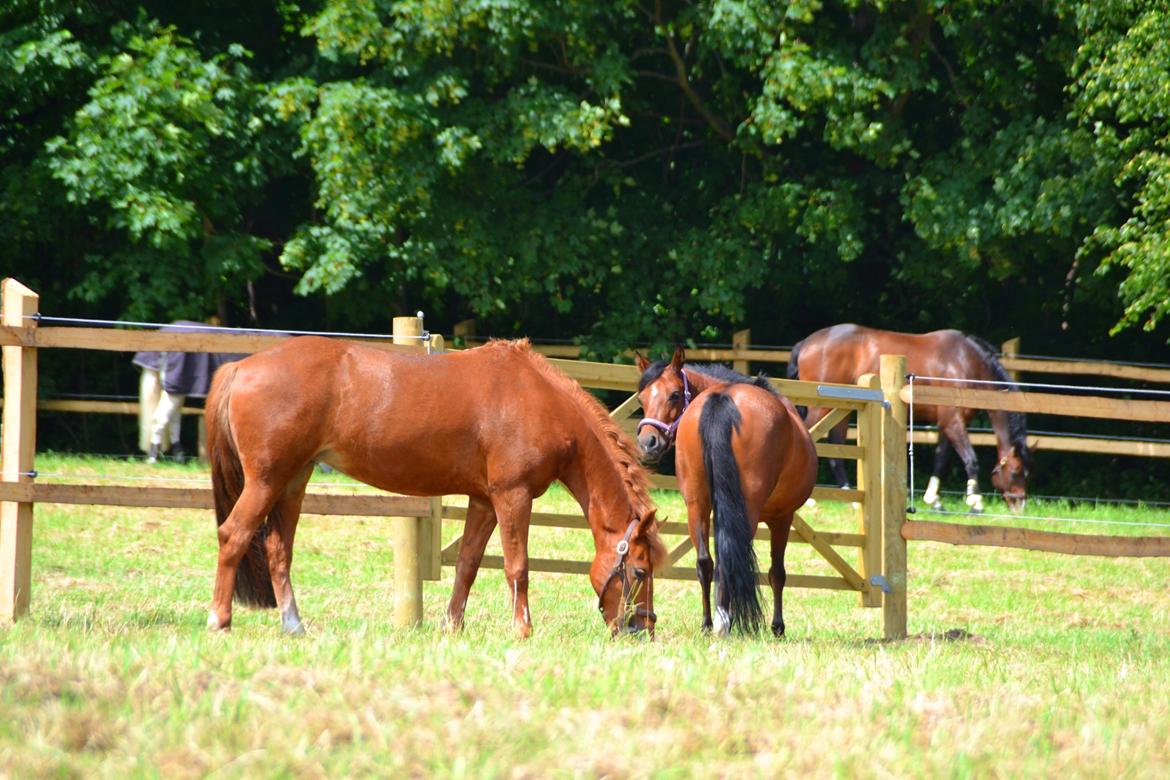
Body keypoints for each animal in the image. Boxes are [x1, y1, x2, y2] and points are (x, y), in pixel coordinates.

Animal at [204, 339, 664, 636]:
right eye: (640, 570)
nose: (643, 630)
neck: (538, 400)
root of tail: (240, 368)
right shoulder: (512, 497)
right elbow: (518, 567)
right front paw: (523, 630)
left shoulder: (484, 501)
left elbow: (468, 565)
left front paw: (452, 627)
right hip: (266, 481)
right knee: (233, 535)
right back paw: (219, 621)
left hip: (292, 482)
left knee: (278, 549)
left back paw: (294, 626)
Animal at [636, 350, 819, 636]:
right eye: (642, 398)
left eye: (674, 395)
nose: (647, 443)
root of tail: (722, 398)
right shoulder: (782, 517)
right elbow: (777, 572)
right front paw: (778, 627)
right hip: (747, 510)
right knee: (732, 559)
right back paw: (727, 622)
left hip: (696, 504)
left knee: (706, 562)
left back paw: (709, 623)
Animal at [786, 322, 1034, 512]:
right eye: (1015, 472)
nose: (1019, 505)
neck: (964, 363)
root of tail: (806, 343)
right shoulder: (953, 422)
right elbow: (970, 459)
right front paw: (976, 502)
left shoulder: (946, 424)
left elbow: (941, 460)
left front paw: (934, 501)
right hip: (820, 409)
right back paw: (811, 499)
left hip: (840, 411)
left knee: (836, 449)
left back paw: (851, 499)